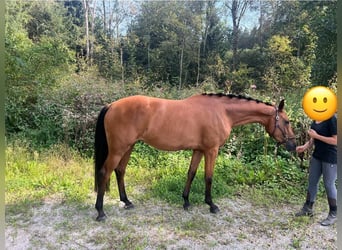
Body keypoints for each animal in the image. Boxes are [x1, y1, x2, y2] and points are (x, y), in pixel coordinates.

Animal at [94, 93, 296, 221]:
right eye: (287, 122)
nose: (293, 146)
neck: (222, 111)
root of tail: (112, 105)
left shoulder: (199, 150)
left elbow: (191, 173)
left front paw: (186, 201)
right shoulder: (212, 150)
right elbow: (208, 177)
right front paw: (211, 205)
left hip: (128, 147)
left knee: (120, 171)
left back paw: (127, 202)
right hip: (118, 149)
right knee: (105, 172)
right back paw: (101, 212)